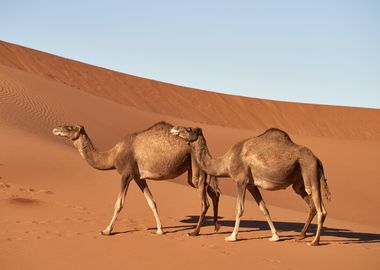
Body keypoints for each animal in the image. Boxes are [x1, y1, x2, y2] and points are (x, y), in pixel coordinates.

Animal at [52, 122, 221, 236]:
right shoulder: (139, 177)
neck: (113, 155)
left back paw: (196, 232)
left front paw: (106, 230)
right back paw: (216, 227)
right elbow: (151, 202)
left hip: (197, 170)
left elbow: (119, 204)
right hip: (192, 172)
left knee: (204, 201)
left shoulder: (126, 174)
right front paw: (160, 230)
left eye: (69, 127)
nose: (56, 129)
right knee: (215, 193)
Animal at [171, 125, 332, 246]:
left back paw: (314, 242)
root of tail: (317, 159)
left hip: (309, 171)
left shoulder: (240, 181)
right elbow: (264, 208)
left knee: (321, 209)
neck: (226, 161)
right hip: (299, 182)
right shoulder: (251, 185)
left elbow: (239, 209)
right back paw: (300, 236)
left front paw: (232, 236)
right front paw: (275, 236)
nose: (174, 129)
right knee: (311, 205)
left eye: (189, 129)